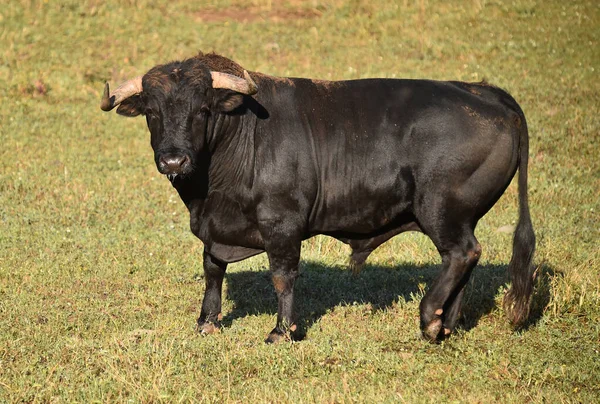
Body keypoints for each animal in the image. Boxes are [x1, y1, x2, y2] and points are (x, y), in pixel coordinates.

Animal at [101, 49, 536, 340]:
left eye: (202, 110)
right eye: (152, 112)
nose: (173, 160)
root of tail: (483, 93)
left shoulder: (282, 225)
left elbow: (282, 276)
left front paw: (282, 331)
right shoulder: (214, 229)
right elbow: (213, 271)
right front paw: (206, 322)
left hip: (442, 210)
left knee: (462, 253)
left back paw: (430, 318)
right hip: (459, 216)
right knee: (463, 259)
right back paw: (446, 324)